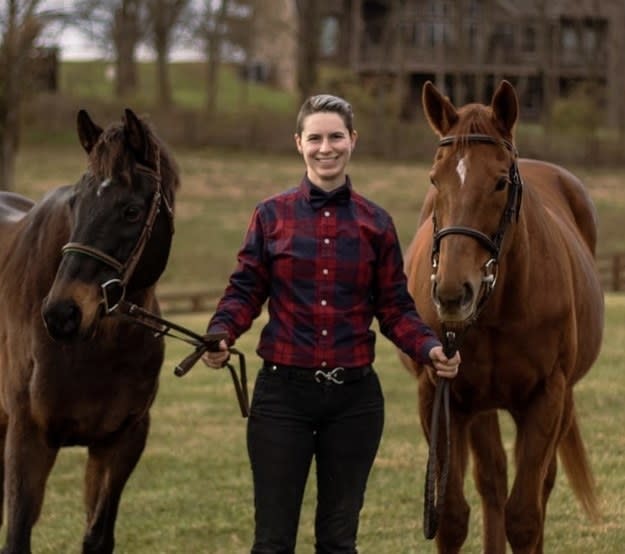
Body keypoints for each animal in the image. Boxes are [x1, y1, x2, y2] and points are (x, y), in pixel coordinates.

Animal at [0, 109, 179, 552]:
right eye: (75, 204)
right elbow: (16, 537)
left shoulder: (120, 440)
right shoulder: (27, 437)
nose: (62, 313)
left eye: (131, 211)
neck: (95, 347)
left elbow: (98, 536)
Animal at [400, 80, 604, 548]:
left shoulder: (546, 397)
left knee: (538, 486)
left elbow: (526, 516)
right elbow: (451, 517)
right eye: (435, 179)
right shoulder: (439, 396)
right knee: (490, 480)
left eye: (498, 183)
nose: (453, 293)